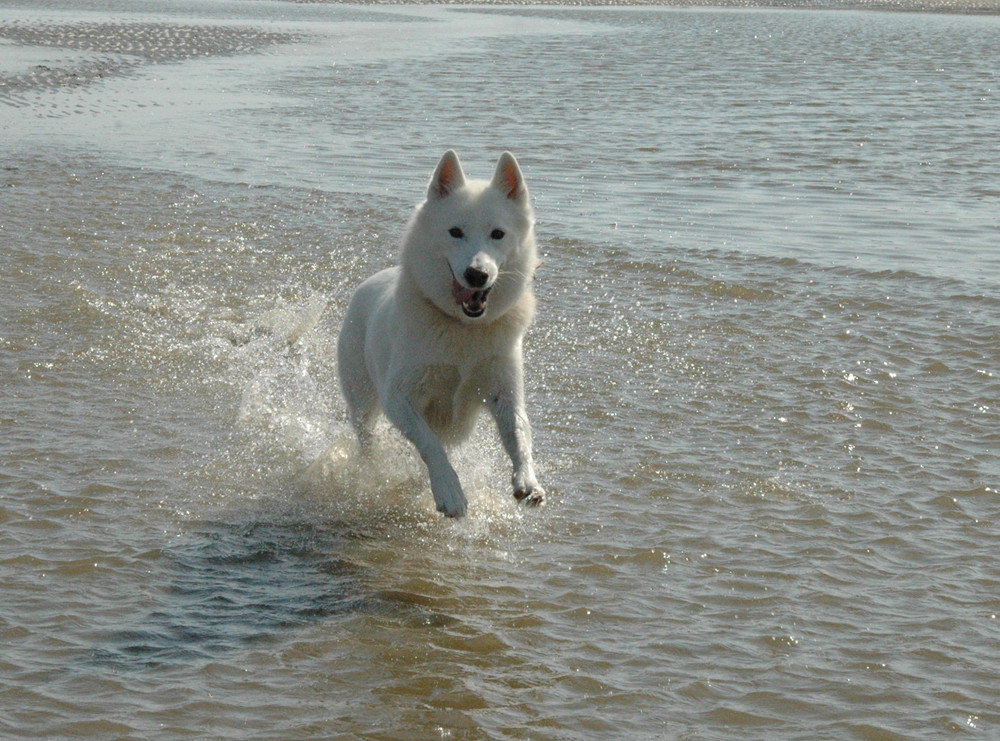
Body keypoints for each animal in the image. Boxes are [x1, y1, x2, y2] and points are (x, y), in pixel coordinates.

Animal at [340, 150, 548, 516]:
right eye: (455, 232)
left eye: (498, 234)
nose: (477, 275)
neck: (462, 327)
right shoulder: (399, 397)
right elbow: (430, 444)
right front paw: (449, 491)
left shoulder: (504, 390)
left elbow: (520, 435)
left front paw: (528, 482)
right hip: (363, 401)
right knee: (367, 438)